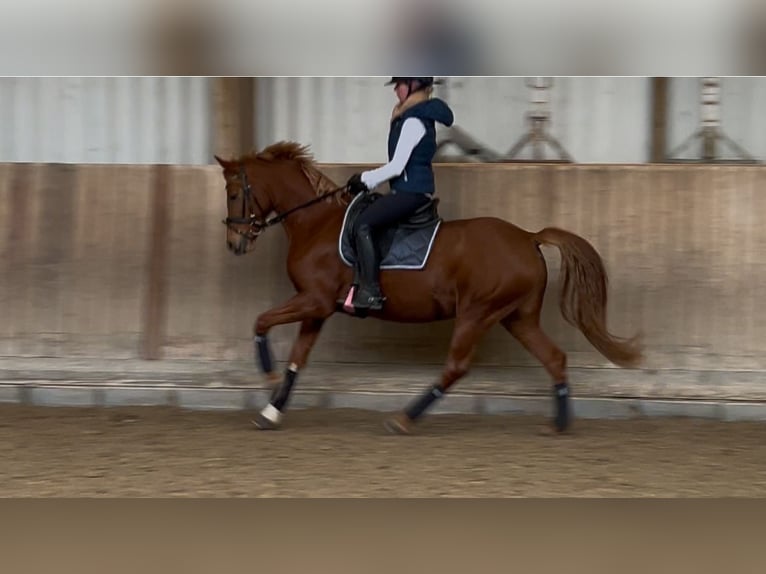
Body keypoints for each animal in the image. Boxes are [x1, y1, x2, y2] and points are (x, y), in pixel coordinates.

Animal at [214, 144, 640, 436]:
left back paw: (404, 419)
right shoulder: (319, 308)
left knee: (456, 367)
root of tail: (528, 237)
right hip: (516, 317)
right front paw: (271, 411)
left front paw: (267, 376)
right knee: (554, 358)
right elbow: (297, 361)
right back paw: (559, 424)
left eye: (234, 193)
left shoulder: (313, 300)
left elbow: (261, 322)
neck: (316, 223)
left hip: (477, 312)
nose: (235, 243)